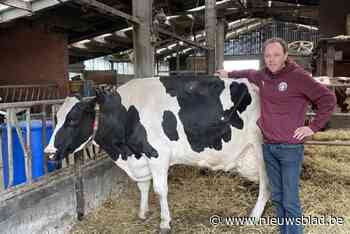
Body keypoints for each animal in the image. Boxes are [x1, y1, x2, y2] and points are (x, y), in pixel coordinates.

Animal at [45, 76, 270, 233]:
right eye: (56, 119)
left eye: (72, 120)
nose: (48, 153)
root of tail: (255, 86)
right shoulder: (140, 155)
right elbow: (143, 186)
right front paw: (143, 212)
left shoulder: (158, 154)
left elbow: (160, 190)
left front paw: (164, 222)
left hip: (261, 151)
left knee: (267, 186)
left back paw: (253, 217)